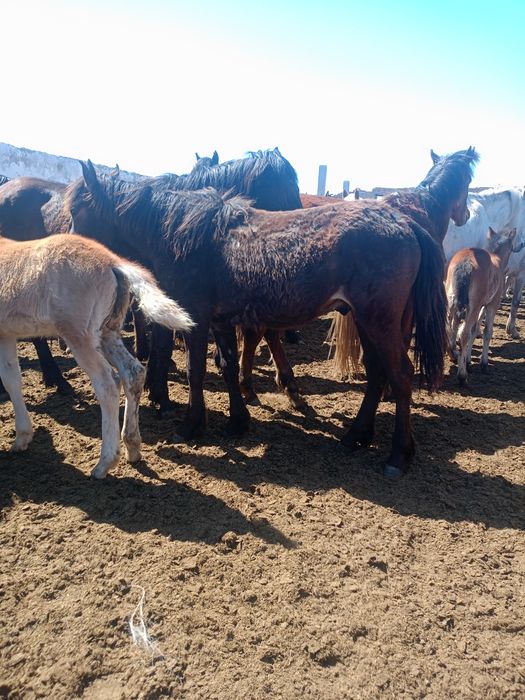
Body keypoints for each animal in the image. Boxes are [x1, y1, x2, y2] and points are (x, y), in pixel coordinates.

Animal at [0, 233, 193, 478]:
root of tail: (113, 262)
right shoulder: (5, 333)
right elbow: (11, 378)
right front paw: (22, 437)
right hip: (107, 331)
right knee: (133, 372)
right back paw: (132, 447)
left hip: (78, 334)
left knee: (107, 384)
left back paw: (104, 463)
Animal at [66, 147, 478, 478]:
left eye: (78, 210)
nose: (69, 248)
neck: (182, 234)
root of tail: (407, 224)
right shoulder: (220, 321)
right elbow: (227, 366)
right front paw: (237, 421)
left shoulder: (195, 318)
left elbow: (196, 371)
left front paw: (191, 425)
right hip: (368, 321)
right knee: (378, 375)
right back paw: (355, 436)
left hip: (381, 322)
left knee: (400, 377)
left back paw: (397, 456)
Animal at [445, 228, 520, 385]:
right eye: (512, 245)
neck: (497, 259)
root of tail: (465, 264)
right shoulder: (492, 304)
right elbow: (487, 332)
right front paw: (483, 363)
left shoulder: (481, 306)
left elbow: (474, 329)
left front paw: (467, 360)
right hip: (472, 307)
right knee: (464, 333)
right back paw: (462, 376)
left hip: (452, 302)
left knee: (449, 328)